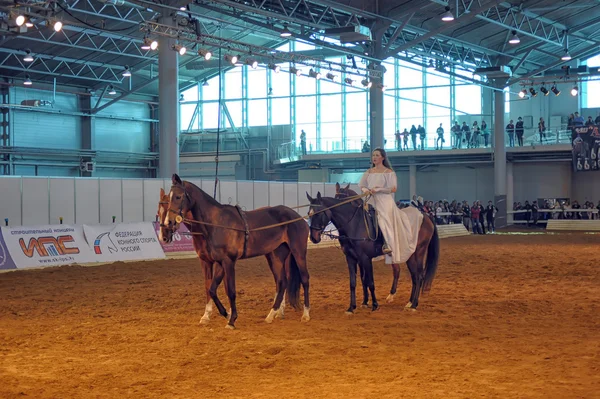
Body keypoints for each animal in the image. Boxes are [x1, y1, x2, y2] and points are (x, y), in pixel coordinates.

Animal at [159, 174, 310, 328]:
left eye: (178, 197)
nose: (167, 224)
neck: (215, 224)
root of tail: (298, 217)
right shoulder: (217, 262)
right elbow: (211, 289)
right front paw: (225, 314)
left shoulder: (228, 261)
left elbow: (230, 291)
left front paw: (231, 320)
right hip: (275, 256)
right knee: (282, 282)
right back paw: (271, 315)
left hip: (298, 252)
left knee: (304, 279)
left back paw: (305, 315)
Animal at [308, 184, 438, 312]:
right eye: (309, 213)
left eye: (318, 213)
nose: (313, 237)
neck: (355, 224)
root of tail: (425, 216)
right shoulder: (351, 258)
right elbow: (355, 282)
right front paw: (353, 307)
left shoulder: (365, 258)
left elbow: (369, 281)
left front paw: (374, 304)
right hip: (408, 255)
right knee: (412, 275)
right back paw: (409, 302)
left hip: (419, 252)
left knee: (419, 275)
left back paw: (414, 305)